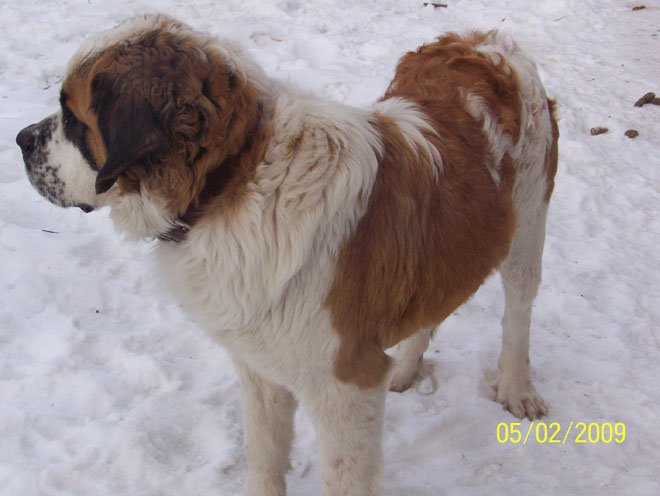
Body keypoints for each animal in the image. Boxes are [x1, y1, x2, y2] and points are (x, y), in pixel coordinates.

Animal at [17, 14, 558, 496]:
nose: (21, 139)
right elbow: (264, 454)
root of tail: (483, 40)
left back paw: (517, 389)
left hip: (527, 228)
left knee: (519, 313)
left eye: (73, 118)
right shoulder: (259, 366)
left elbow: (342, 479)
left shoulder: (345, 386)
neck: (233, 178)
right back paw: (407, 367)